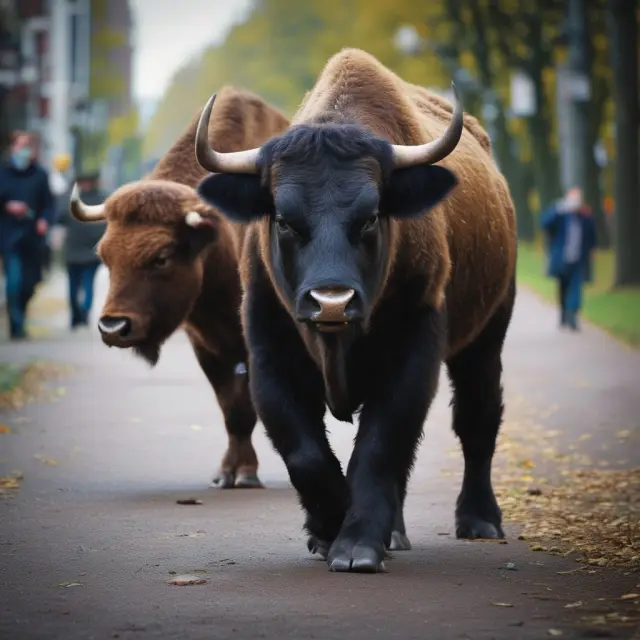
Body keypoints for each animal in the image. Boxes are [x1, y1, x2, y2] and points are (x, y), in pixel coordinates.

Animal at [69, 86, 290, 489]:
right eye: (105, 256)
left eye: (162, 257)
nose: (113, 327)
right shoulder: (207, 349)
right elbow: (231, 411)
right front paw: (226, 473)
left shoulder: (255, 348)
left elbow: (247, 408)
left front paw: (246, 474)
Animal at [191, 49, 517, 573]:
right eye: (284, 220)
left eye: (370, 216)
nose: (332, 301)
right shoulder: (268, 354)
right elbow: (306, 452)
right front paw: (329, 529)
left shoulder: (413, 354)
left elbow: (382, 446)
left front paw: (357, 543)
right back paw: (396, 532)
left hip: (487, 337)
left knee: (477, 417)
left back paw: (479, 518)